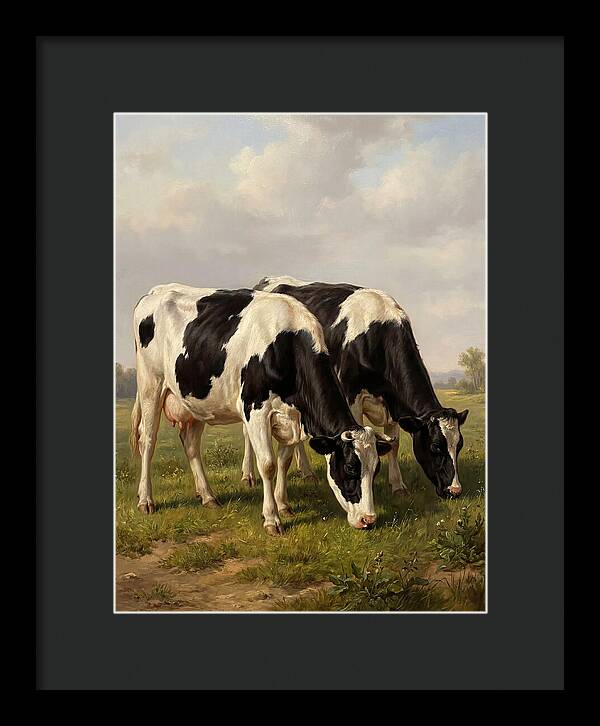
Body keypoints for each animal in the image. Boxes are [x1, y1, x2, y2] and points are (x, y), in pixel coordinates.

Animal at [129, 283, 394, 535]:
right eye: (350, 467)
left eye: (376, 469)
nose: (368, 520)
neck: (287, 345)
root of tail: (157, 291)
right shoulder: (255, 411)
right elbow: (268, 464)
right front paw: (271, 519)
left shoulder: (292, 418)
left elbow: (285, 461)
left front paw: (283, 505)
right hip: (151, 384)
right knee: (148, 440)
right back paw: (146, 500)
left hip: (195, 400)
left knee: (191, 443)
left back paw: (208, 497)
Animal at [251, 276, 469, 500]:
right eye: (435, 446)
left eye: (459, 444)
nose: (455, 491)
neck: (378, 333)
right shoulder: (352, 397)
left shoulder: (392, 401)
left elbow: (393, 444)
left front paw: (397, 486)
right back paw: (249, 476)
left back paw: (307, 472)